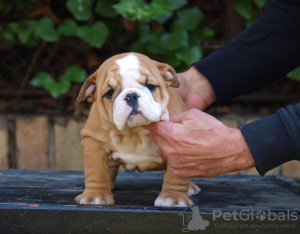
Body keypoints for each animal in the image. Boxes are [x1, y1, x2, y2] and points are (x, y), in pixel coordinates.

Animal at [76, 52, 200, 207]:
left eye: (150, 86)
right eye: (109, 92)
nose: (131, 95)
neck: (135, 131)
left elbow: (175, 175)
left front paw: (173, 198)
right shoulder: (94, 142)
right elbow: (96, 170)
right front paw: (95, 195)